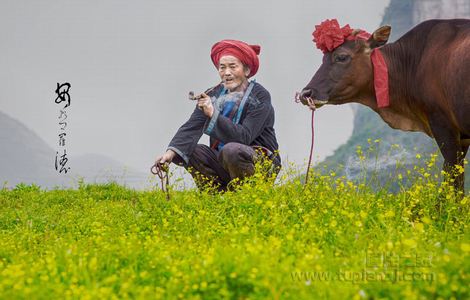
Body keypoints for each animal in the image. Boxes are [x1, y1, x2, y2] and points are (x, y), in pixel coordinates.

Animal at [300, 18, 470, 192]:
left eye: (341, 57)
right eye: (323, 59)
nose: (306, 93)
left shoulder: (442, 123)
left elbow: (452, 178)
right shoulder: (462, 135)